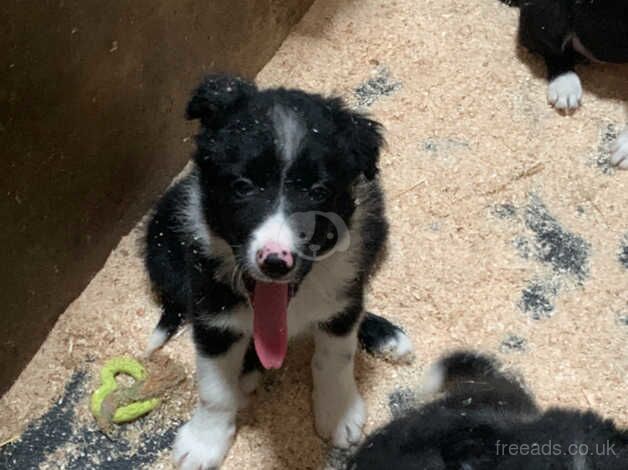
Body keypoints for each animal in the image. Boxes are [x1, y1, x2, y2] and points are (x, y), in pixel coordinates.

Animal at [145, 75, 414, 468]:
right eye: (242, 186)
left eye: (318, 191)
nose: (275, 261)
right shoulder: (213, 315)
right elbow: (214, 388)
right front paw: (204, 442)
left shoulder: (341, 295)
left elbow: (335, 356)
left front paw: (338, 412)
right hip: (163, 255)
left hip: (376, 227)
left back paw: (385, 335)